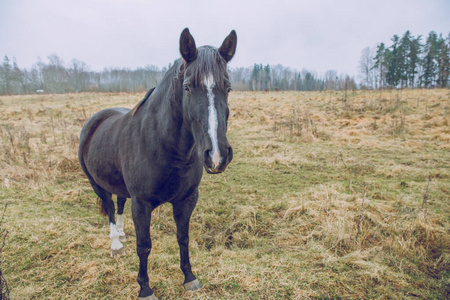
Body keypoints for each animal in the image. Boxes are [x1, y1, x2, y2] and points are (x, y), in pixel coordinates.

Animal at [78, 28, 237, 300]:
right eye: (187, 87)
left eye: (227, 88)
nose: (217, 156)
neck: (165, 147)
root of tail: (96, 119)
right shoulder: (142, 203)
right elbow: (144, 246)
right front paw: (145, 288)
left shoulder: (187, 199)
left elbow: (183, 237)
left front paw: (189, 277)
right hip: (96, 184)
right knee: (109, 207)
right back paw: (116, 243)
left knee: (120, 203)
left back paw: (122, 233)